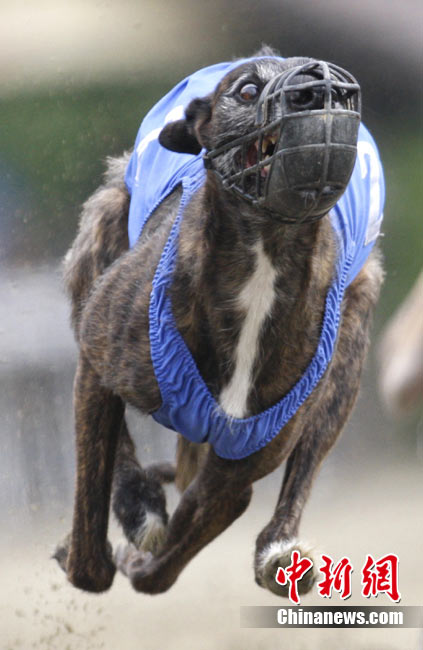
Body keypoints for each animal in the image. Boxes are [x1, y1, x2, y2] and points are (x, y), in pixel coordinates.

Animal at [54, 46, 385, 597]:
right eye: (247, 90)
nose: (317, 90)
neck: (265, 251)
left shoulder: (237, 468)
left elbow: (169, 559)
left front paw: (144, 558)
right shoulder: (99, 365)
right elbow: (91, 558)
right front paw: (132, 514)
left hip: (347, 360)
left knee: (300, 468)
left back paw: (278, 549)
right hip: (99, 239)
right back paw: (140, 503)